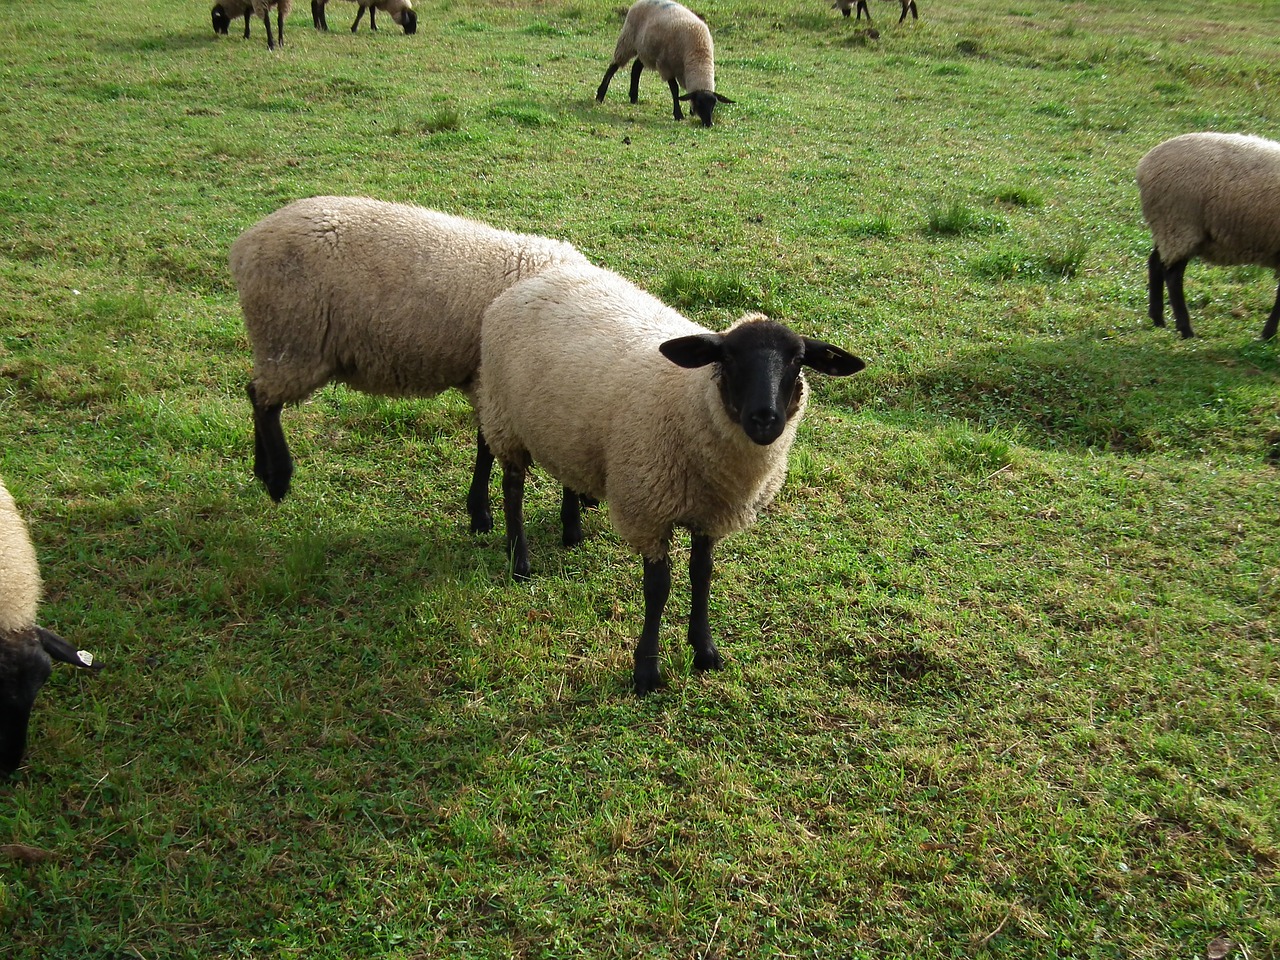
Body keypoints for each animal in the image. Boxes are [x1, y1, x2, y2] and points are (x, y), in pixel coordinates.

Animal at [230, 195, 588, 537]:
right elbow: (487, 447)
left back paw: (262, 470)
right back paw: (277, 478)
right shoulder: (492, 383)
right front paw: (489, 516)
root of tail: (246, 243)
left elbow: (484, 445)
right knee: (262, 400)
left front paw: (480, 512)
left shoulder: (488, 384)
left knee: (259, 395)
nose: (591, 502)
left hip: (284, 342)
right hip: (292, 337)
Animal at [476, 263, 865, 701]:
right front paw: (646, 670)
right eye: (728, 358)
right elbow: (657, 588)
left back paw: (572, 530)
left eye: (797, 360)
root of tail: (536, 278)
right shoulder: (648, 510)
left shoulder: (709, 514)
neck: (689, 402)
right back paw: (519, 559)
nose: (765, 419)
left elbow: (702, 574)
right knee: (512, 487)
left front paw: (705, 650)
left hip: (565, 431)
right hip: (503, 416)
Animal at [596, 0, 737, 128]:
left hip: (646, 49)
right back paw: (600, 95)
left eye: (714, 104)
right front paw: (678, 114)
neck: (698, 54)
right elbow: (675, 89)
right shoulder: (666, 65)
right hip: (627, 41)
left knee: (636, 68)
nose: (708, 124)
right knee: (613, 66)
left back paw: (634, 97)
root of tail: (639, 2)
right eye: (699, 103)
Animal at [1141, 131, 1280, 343]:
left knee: (1156, 262)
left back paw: (1158, 319)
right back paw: (1185, 329)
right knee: (1172, 275)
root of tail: (1146, 162)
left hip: (1169, 229)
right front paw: (1267, 335)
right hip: (1180, 225)